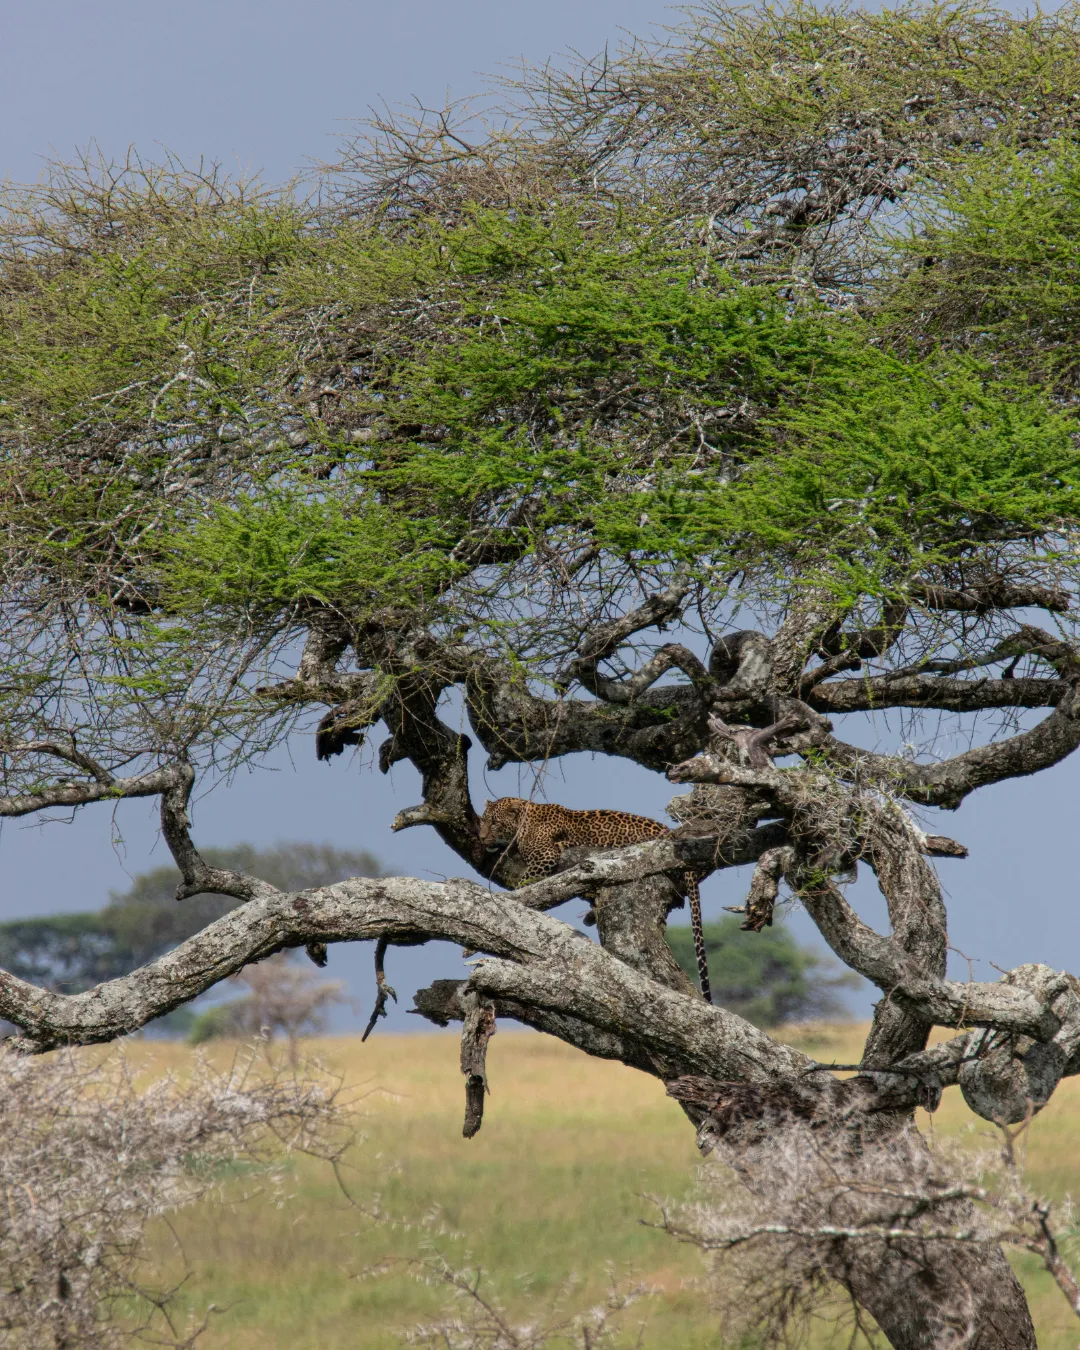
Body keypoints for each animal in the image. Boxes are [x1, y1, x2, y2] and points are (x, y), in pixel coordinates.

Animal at [477, 797, 711, 1003]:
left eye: (495, 822)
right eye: (483, 820)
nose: (481, 837)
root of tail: (671, 835)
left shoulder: (544, 856)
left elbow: (524, 885)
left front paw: (510, 900)